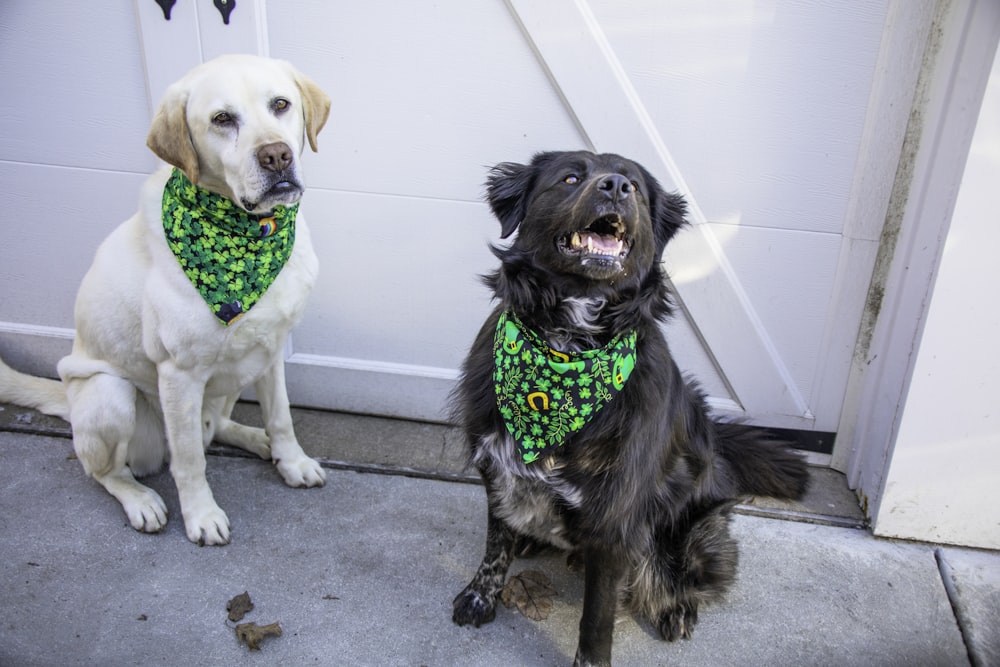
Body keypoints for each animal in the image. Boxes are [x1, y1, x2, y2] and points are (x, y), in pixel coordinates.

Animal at [0, 56, 334, 548]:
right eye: (222, 119)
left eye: (280, 104)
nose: (277, 155)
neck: (249, 237)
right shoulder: (178, 375)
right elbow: (189, 461)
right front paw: (201, 516)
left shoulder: (271, 350)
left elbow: (281, 417)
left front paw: (290, 461)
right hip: (110, 396)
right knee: (108, 471)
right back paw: (140, 500)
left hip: (237, 375)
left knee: (218, 427)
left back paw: (257, 441)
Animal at [450, 151, 808, 667]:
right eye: (570, 178)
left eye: (635, 186)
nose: (616, 186)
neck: (567, 346)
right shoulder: (498, 469)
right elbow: (494, 544)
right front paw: (480, 596)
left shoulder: (615, 520)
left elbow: (597, 616)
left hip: (691, 532)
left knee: (675, 573)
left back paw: (676, 607)